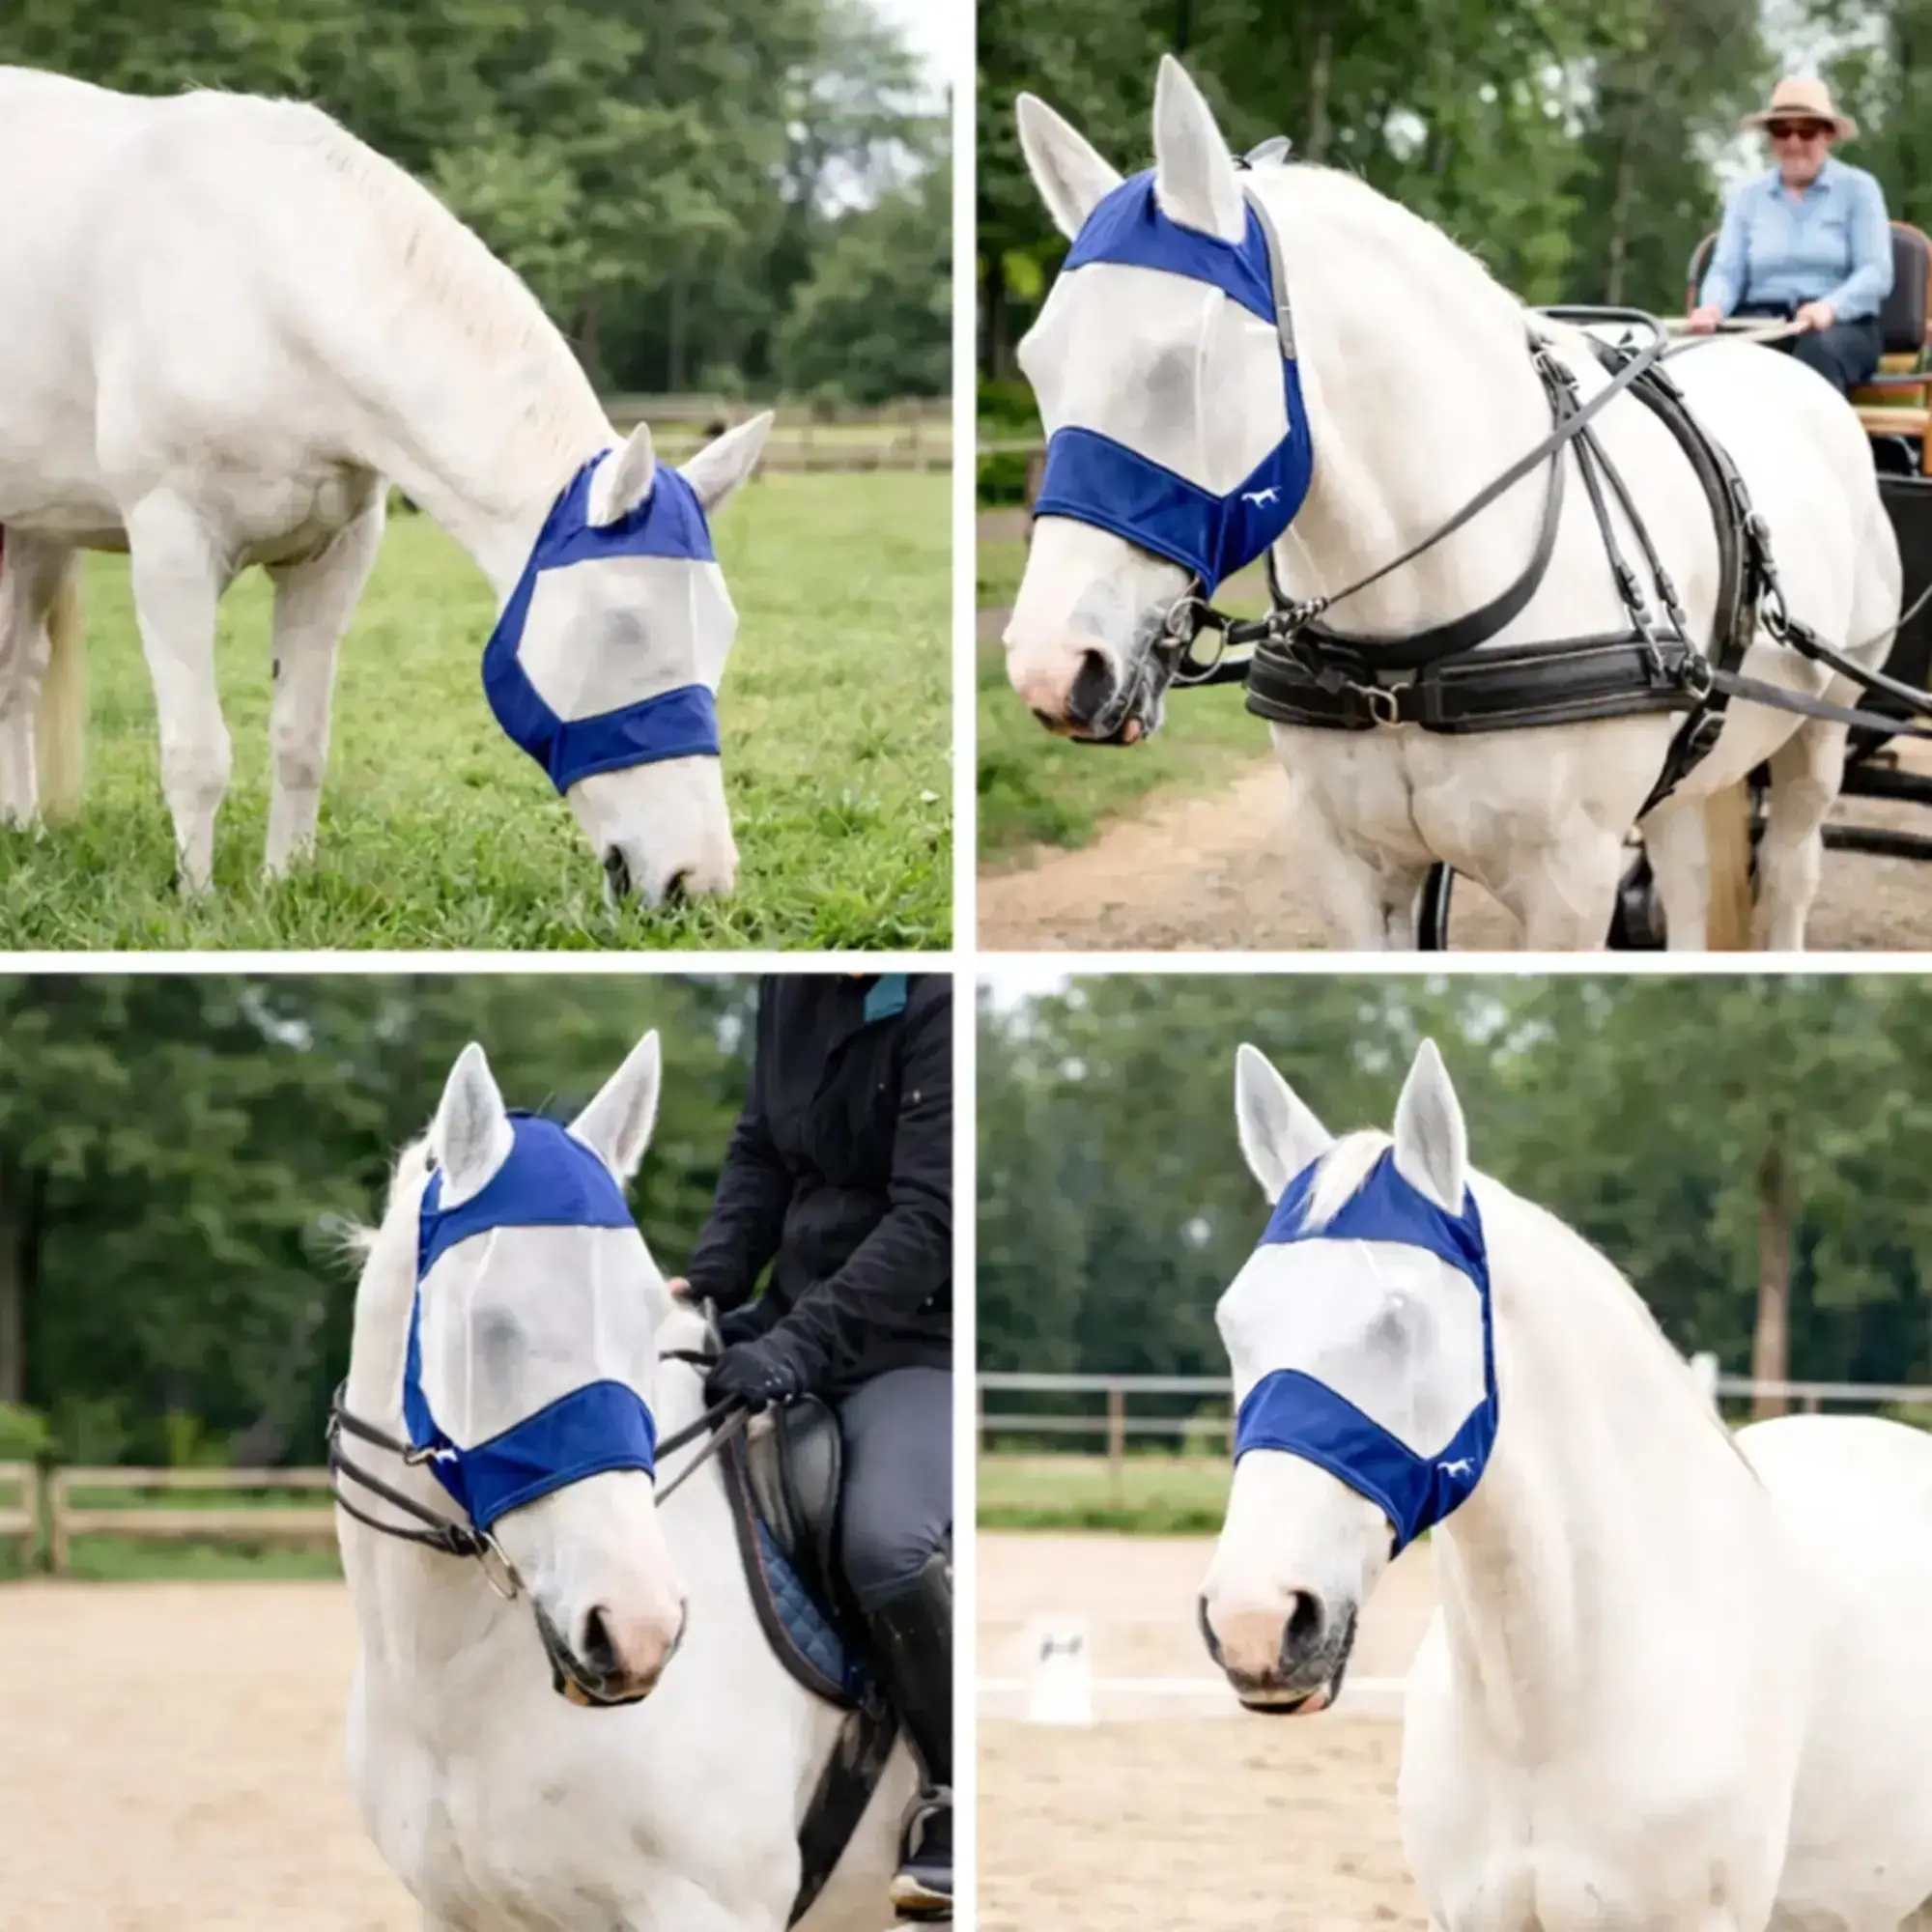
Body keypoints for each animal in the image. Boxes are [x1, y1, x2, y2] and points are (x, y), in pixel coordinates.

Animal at [0, 67, 772, 907]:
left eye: (725, 629)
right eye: (625, 625)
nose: (699, 880)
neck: (260, 286)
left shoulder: (333, 556)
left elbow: (300, 741)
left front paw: (283, 884)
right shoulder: (171, 548)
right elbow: (197, 754)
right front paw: (197, 904)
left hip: (37, 532)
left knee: (17, 673)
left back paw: (24, 829)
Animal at [332, 1032, 915, 1931]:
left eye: (649, 1325)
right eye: (490, 1327)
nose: (638, 1632)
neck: (450, 1686)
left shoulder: (704, 1908)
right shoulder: (450, 1912)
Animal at [1004, 54, 1903, 950]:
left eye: (1178, 364)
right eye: (1035, 365)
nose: (1051, 669)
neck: (1406, 653)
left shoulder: (1572, 886)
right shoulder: (1349, 866)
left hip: (1821, 729)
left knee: (1789, 870)